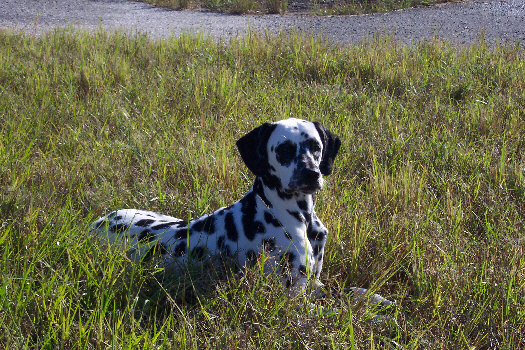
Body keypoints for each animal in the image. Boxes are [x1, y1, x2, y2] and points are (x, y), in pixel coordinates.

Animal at [91, 119, 392, 308]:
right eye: (283, 150)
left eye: (316, 147)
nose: (311, 174)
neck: (295, 216)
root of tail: (95, 224)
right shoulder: (294, 299)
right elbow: (340, 309)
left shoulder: (315, 282)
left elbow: (350, 292)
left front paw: (378, 301)